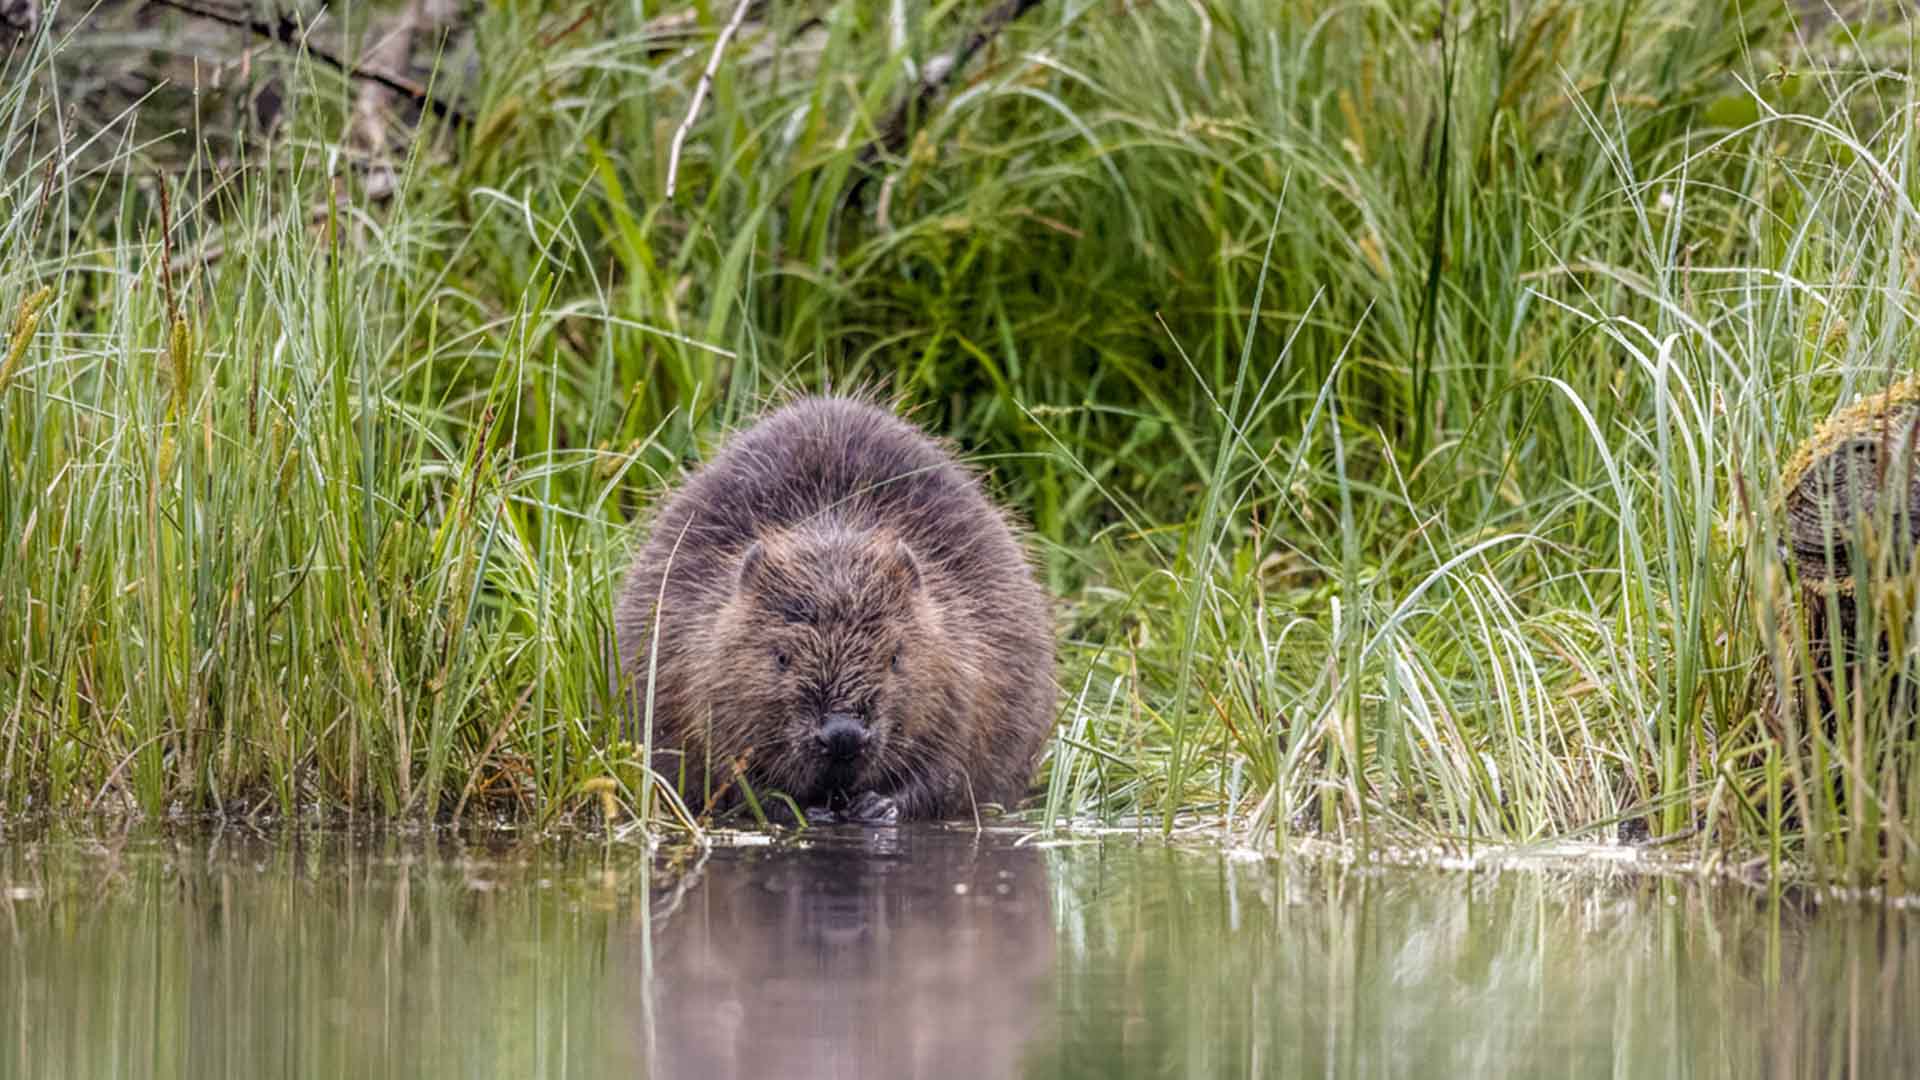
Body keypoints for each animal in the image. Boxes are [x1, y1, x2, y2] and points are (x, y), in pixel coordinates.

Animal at [614, 395, 1059, 822]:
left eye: (895, 657)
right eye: (781, 657)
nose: (843, 735)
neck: (832, 525)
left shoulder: (970, 656)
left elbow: (951, 769)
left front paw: (879, 806)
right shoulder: (688, 652)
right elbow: (722, 770)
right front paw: (801, 808)